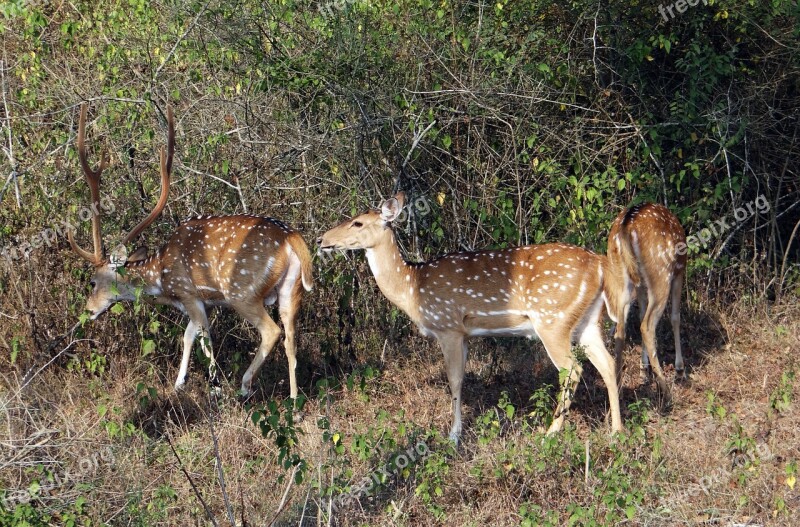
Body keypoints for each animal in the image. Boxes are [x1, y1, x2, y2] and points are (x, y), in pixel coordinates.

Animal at [68, 103, 312, 398]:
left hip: (242, 290)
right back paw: (294, 399)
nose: (87, 312)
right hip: (291, 289)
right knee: (292, 338)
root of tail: (292, 238)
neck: (161, 279)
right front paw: (197, 383)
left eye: (92, 282)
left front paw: (200, 385)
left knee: (272, 331)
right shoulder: (202, 302)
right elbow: (196, 336)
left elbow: (195, 336)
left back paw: (244, 387)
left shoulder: (189, 293)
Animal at [318, 192, 624, 444]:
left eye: (357, 223)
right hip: (587, 321)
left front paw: (454, 435)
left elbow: (454, 379)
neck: (412, 287)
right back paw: (616, 430)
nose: (322, 240)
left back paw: (550, 432)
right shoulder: (465, 333)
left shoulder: (448, 326)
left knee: (573, 369)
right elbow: (462, 378)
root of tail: (600, 265)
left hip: (552, 319)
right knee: (607, 363)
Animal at [608, 203, 688, 396]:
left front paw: (644, 370)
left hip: (621, 276)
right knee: (647, 325)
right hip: (661, 273)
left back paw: (618, 385)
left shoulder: (641, 285)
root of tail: (627, 226)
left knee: (621, 328)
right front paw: (680, 370)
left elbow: (640, 313)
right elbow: (675, 318)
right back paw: (666, 390)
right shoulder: (679, 272)